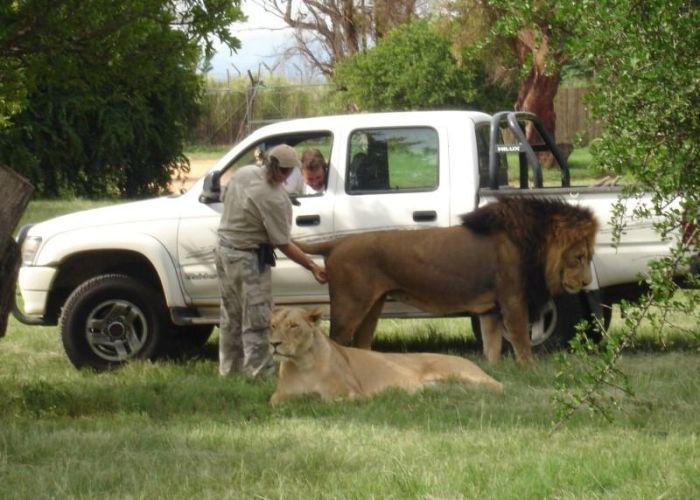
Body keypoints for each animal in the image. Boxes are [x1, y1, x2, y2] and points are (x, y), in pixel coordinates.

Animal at [268, 304, 504, 406]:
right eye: (273, 325)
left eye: (293, 326)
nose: (273, 344)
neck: (303, 363)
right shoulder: (279, 395)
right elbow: (275, 401)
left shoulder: (350, 393)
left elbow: (328, 399)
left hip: (458, 372)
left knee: (500, 385)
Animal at [292, 197, 600, 366]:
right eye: (579, 257)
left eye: (589, 257)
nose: (586, 283)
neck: (532, 245)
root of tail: (336, 243)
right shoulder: (513, 300)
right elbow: (522, 342)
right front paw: (529, 369)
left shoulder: (490, 310)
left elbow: (492, 348)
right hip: (350, 307)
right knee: (334, 343)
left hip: (372, 307)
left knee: (360, 345)